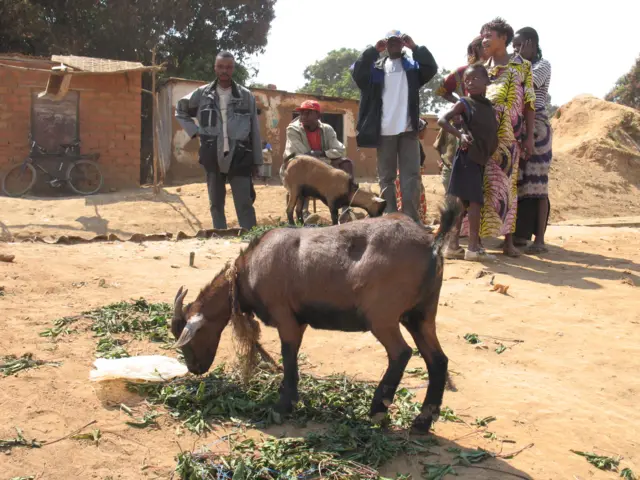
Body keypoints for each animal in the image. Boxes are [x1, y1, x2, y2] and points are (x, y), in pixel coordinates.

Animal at [170, 201, 460, 434]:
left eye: (190, 340)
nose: (194, 369)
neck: (246, 273)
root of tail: (432, 242)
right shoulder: (298, 321)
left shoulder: (286, 317)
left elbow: (288, 356)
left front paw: (283, 405)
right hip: (421, 314)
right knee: (437, 360)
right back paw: (423, 421)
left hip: (382, 316)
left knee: (401, 353)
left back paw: (378, 409)